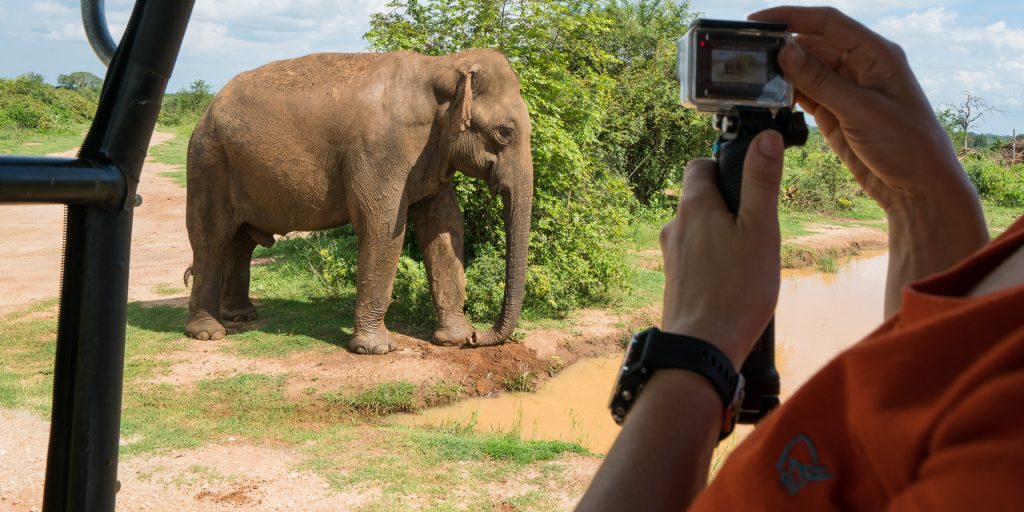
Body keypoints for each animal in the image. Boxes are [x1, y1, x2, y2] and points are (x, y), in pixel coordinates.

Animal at [186, 49, 536, 356]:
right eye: (506, 132)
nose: (479, 336)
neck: (443, 65)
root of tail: (208, 109)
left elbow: (445, 226)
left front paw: (455, 340)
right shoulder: (380, 151)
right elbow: (382, 227)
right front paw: (375, 349)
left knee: (240, 242)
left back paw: (240, 316)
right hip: (208, 162)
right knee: (211, 239)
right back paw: (208, 332)